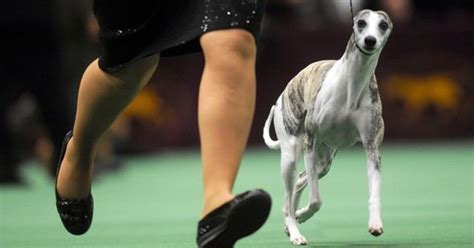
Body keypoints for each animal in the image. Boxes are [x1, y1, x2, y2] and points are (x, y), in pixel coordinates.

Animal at [262, 9, 392, 244]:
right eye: (361, 23)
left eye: (383, 25)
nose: (370, 41)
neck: (352, 83)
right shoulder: (310, 141)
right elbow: (316, 200)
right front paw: (303, 215)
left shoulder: (372, 146)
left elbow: (374, 192)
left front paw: (375, 223)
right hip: (291, 154)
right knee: (288, 197)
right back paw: (295, 231)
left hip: (324, 161)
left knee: (298, 183)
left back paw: (293, 221)